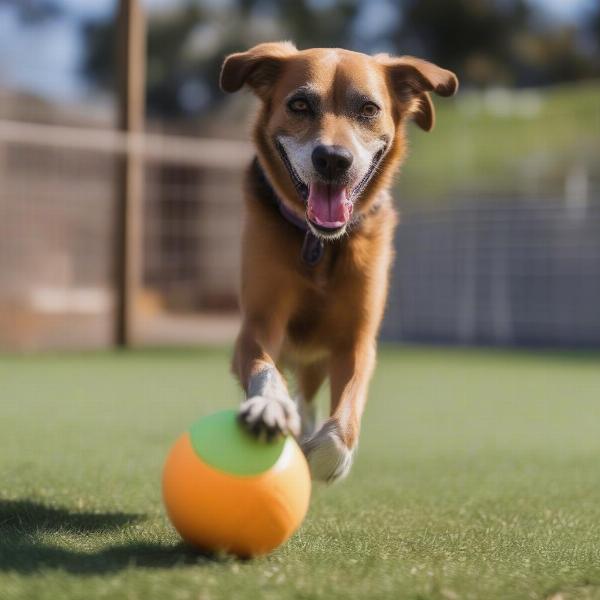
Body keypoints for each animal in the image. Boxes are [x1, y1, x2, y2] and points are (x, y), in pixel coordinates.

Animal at [220, 42, 460, 482]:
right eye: (299, 104)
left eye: (368, 108)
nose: (333, 159)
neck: (320, 243)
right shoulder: (259, 325)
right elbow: (265, 369)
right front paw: (269, 408)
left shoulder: (356, 339)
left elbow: (348, 407)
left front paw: (326, 456)